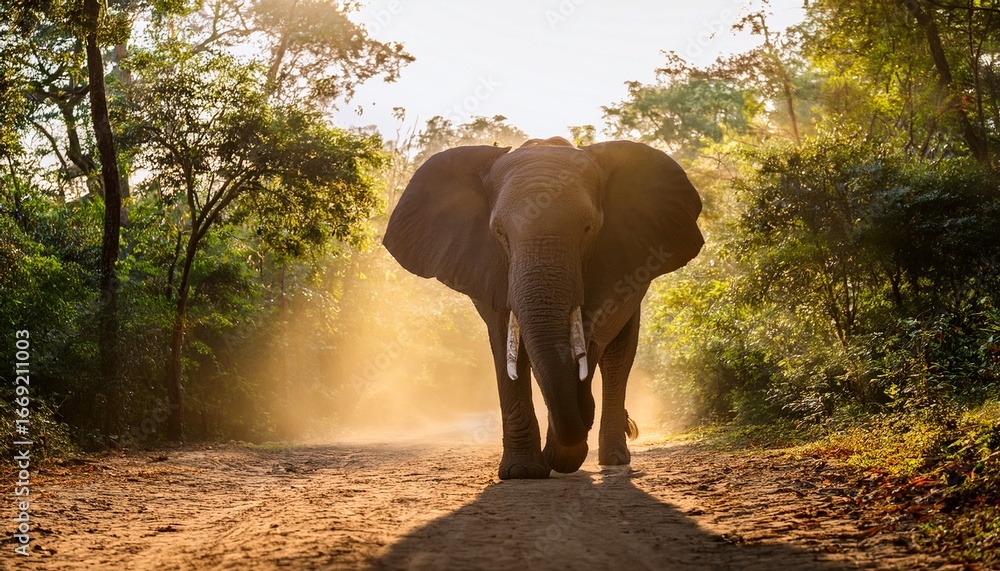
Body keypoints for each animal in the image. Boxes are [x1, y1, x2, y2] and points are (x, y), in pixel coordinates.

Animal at [383, 136, 703, 479]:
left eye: (588, 229)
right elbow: (504, 345)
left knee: (617, 356)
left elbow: (583, 345)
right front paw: (521, 472)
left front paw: (562, 453)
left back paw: (613, 458)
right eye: (499, 233)